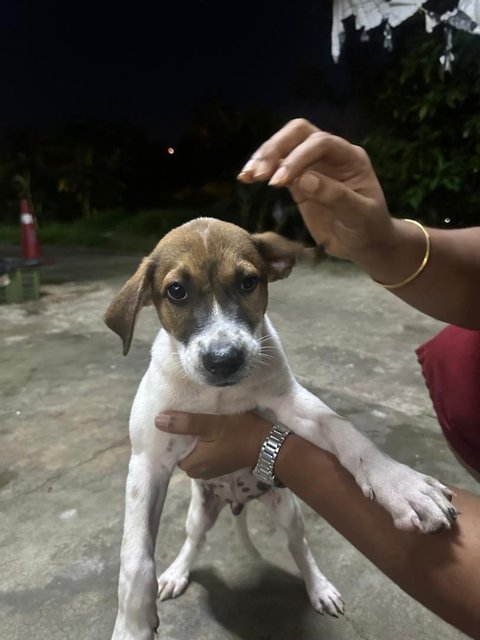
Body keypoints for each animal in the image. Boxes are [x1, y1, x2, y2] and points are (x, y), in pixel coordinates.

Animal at [106, 216, 458, 640]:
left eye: (248, 282)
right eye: (176, 291)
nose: (224, 360)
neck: (217, 396)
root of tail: (236, 500)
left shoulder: (290, 403)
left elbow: (343, 430)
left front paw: (400, 484)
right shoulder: (148, 460)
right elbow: (135, 556)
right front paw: (133, 624)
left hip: (288, 508)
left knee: (299, 547)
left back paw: (319, 588)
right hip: (199, 510)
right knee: (195, 539)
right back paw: (177, 572)